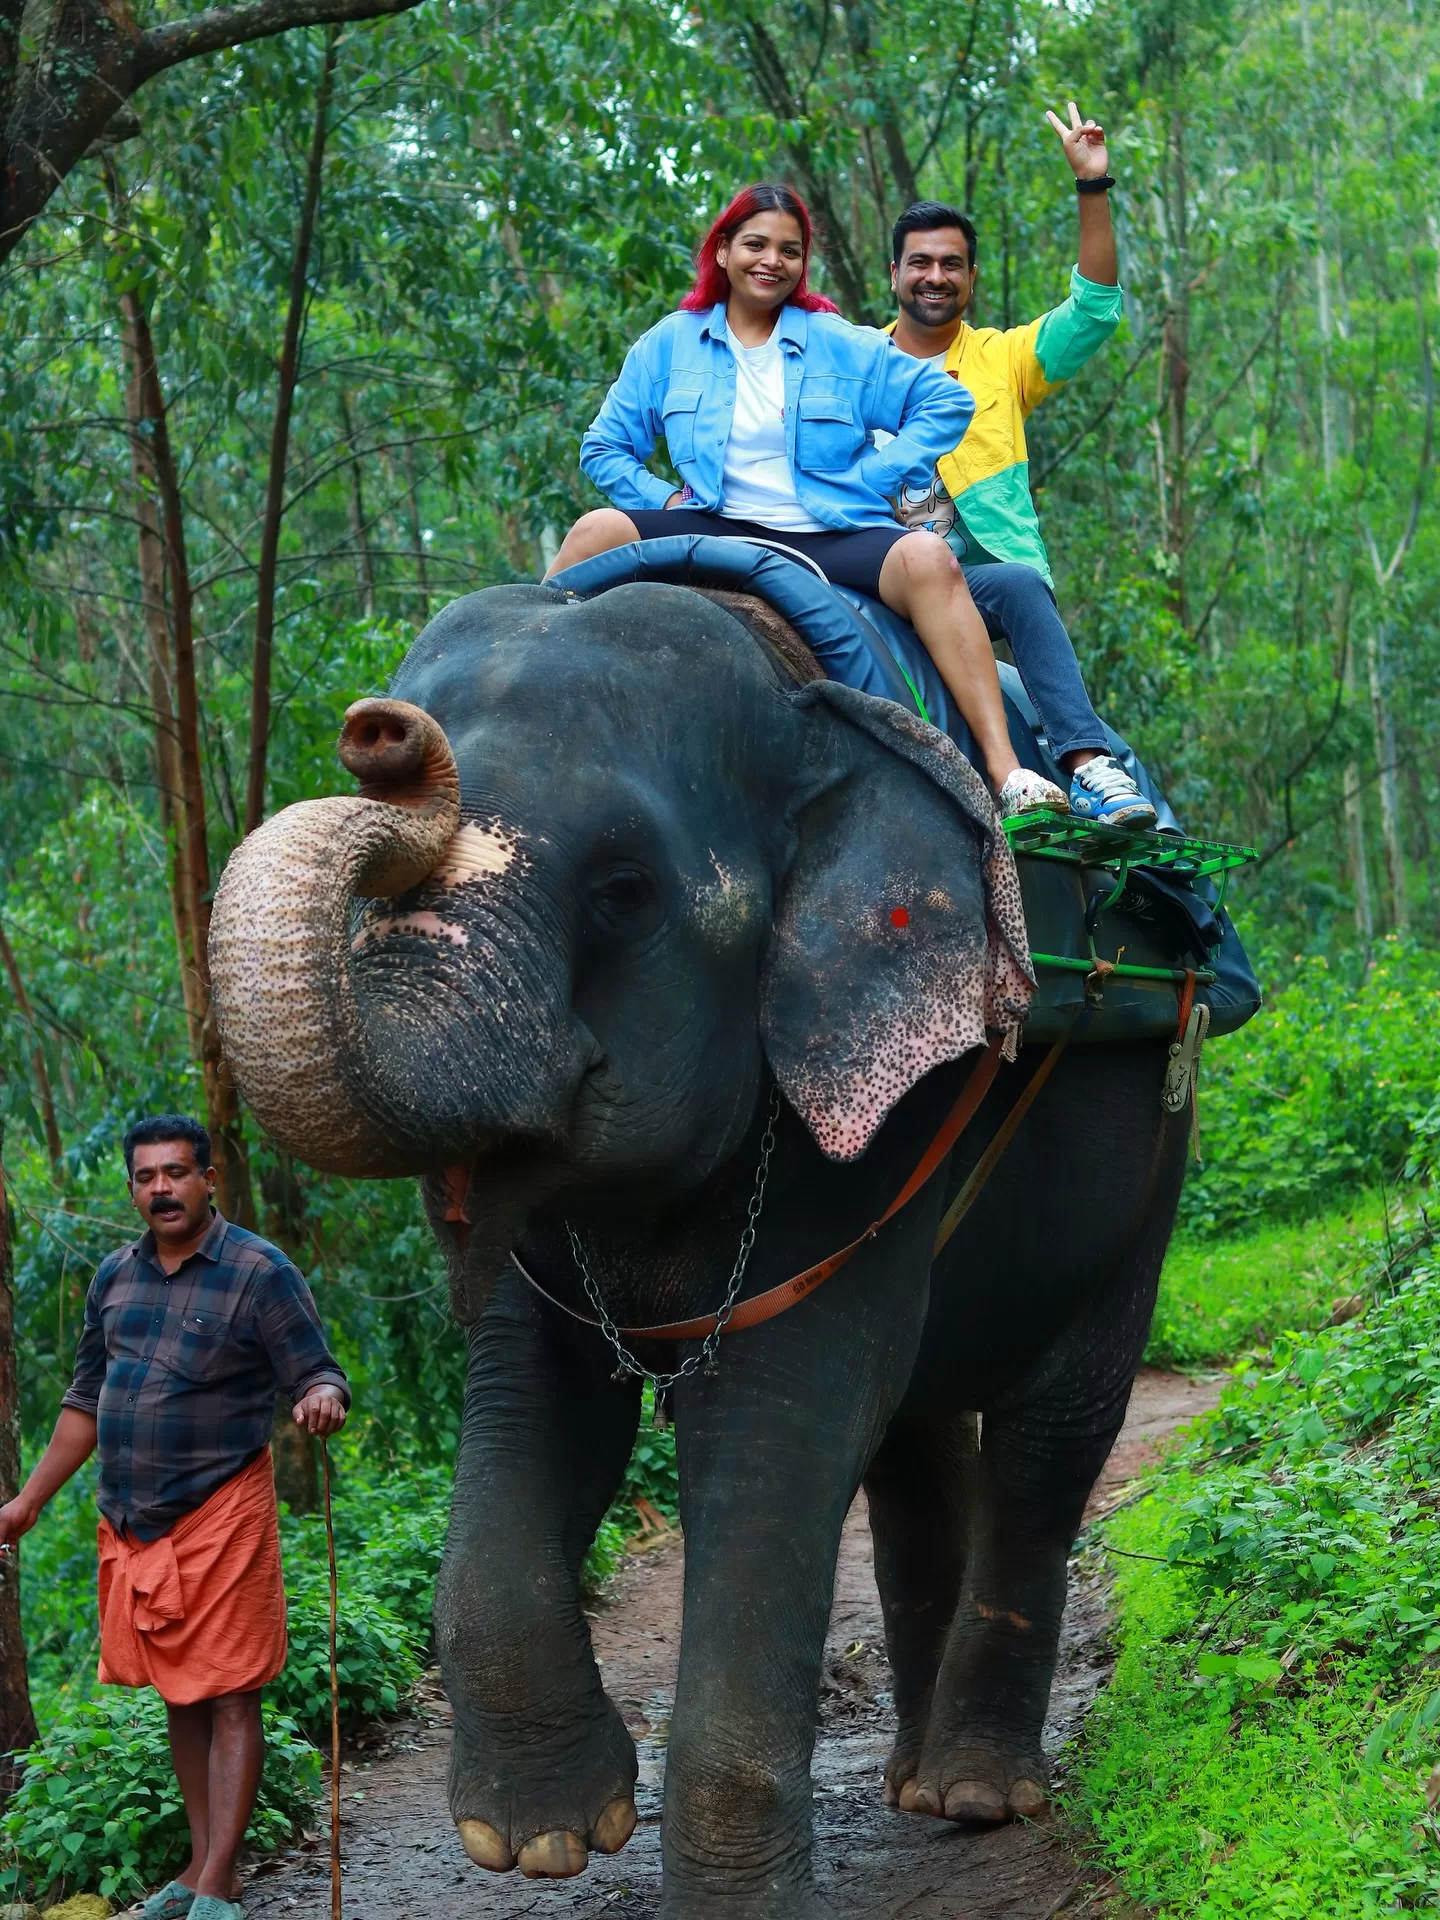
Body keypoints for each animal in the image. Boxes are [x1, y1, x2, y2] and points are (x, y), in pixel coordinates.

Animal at [210, 574, 1189, 1919]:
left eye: (624, 889)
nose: (381, 734)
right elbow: (535, 1395)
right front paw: (541, 1839)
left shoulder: (870, 1094)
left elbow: (784, 1418)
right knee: (917, 1439)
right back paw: (911, 1781)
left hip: (1153, 1152)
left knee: (1051, 1439)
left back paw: (978, 1795)